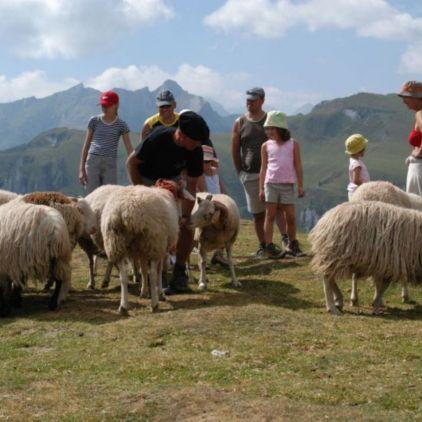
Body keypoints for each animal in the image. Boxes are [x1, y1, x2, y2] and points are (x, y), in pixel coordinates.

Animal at [100, 178, 193, 314]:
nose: (181, 217)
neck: (166, 192)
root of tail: (126, 211)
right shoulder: (161, 250)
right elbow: (159, 271)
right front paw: (160, 293)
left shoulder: (141, 251)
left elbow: (143, 270)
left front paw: (143, 291)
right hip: (153, 242)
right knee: (153, 274)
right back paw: (154, 303)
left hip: (116, 244)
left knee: (123, 277)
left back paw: (123, 306)